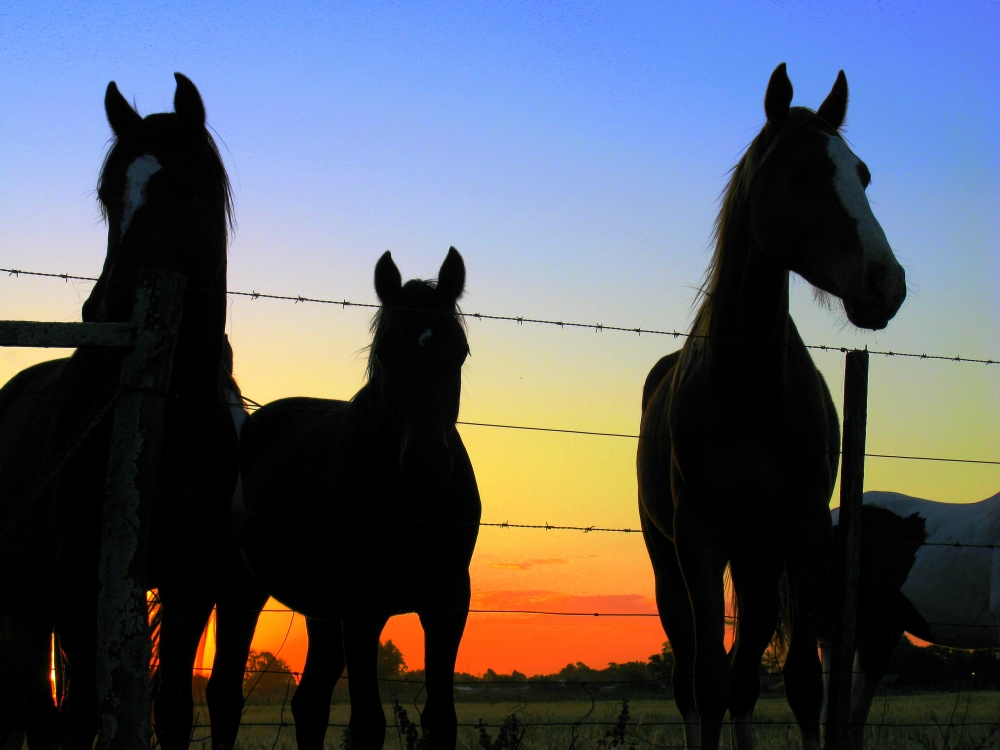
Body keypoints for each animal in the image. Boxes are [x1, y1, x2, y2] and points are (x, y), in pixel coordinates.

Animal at [0, 75, 238, 750]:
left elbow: (173, 710)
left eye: (183, 188)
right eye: (110, 196)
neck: (173, 417)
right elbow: (82, 716)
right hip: (21, 592)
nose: (105, 308)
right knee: (39, 709)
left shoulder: (194, 576)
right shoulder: (80, 570)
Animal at [207, 248, 480, 750]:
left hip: (320, 613)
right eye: (386, 353)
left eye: (459, 352)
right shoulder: (360, 607)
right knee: (225, 697)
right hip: (241, 588)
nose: (427, 462)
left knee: (309, 705)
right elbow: (367, 722)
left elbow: (441, 719)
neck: (410, 503)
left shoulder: (447, 604)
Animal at [640, 64, 908, 750]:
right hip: (670, 563)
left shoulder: (804, 530)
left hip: (759, 562)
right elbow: (707, 681)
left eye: (863, 173)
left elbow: (802, 685)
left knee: (744, 676)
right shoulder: (700, 536)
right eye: (799, 173)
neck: (749, 388)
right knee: (691, 678)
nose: (885, 283)